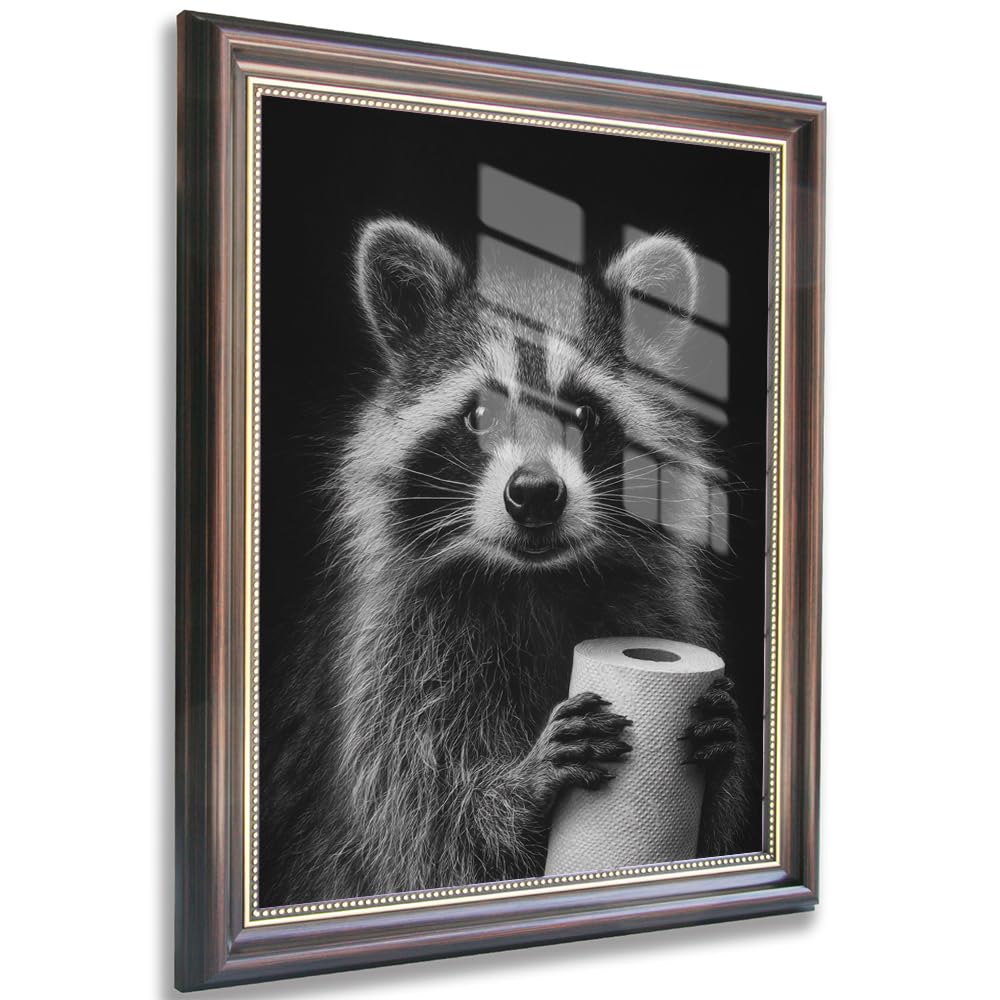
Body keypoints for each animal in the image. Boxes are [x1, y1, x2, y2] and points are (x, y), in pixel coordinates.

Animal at [261, 217, 751, 905]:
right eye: (481, 414)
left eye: (584, 414)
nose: (536, 494)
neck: (536, 582)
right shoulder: (403, 654)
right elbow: (431, 832)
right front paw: (518, 791)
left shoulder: (652, 609)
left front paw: (722, 762)